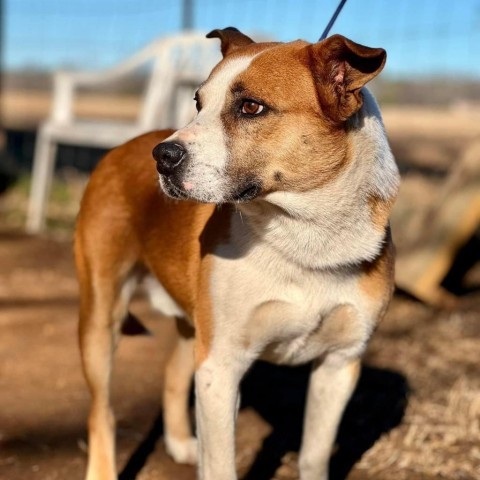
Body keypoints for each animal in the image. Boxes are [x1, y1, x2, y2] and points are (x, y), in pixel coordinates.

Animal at [75, 27, 398, 480]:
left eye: (250, 107)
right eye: (198, 102)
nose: (163, 157)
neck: (305, 236)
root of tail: (121, 148)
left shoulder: (339, 364)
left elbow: (314, 455)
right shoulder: (221, 366)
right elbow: (221, 465)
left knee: (173, 373)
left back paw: (180, 444)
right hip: (101, 316)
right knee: (100, 411)